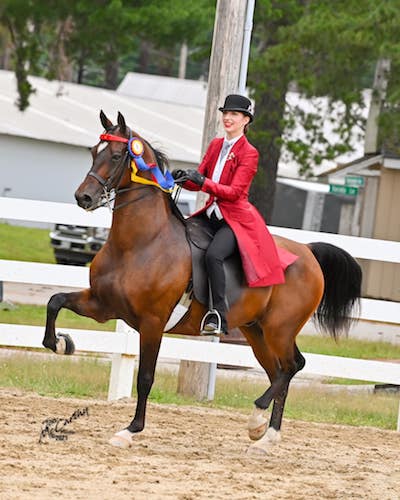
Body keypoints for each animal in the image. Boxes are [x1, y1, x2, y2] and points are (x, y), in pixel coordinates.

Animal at [43, 111, 362, 456]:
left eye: (115, 156)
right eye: (93, 152)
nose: (83, 197)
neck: (139, 244)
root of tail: (307, 251)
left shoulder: (152, 322)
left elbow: (145, 377)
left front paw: (130, 430)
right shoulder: (102, 305)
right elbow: (55, 301)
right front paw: (61, 343)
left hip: (280, 328)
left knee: (292, 367)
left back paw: (258, 420)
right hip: (256, 330)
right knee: (279, 371)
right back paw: (265, 436)